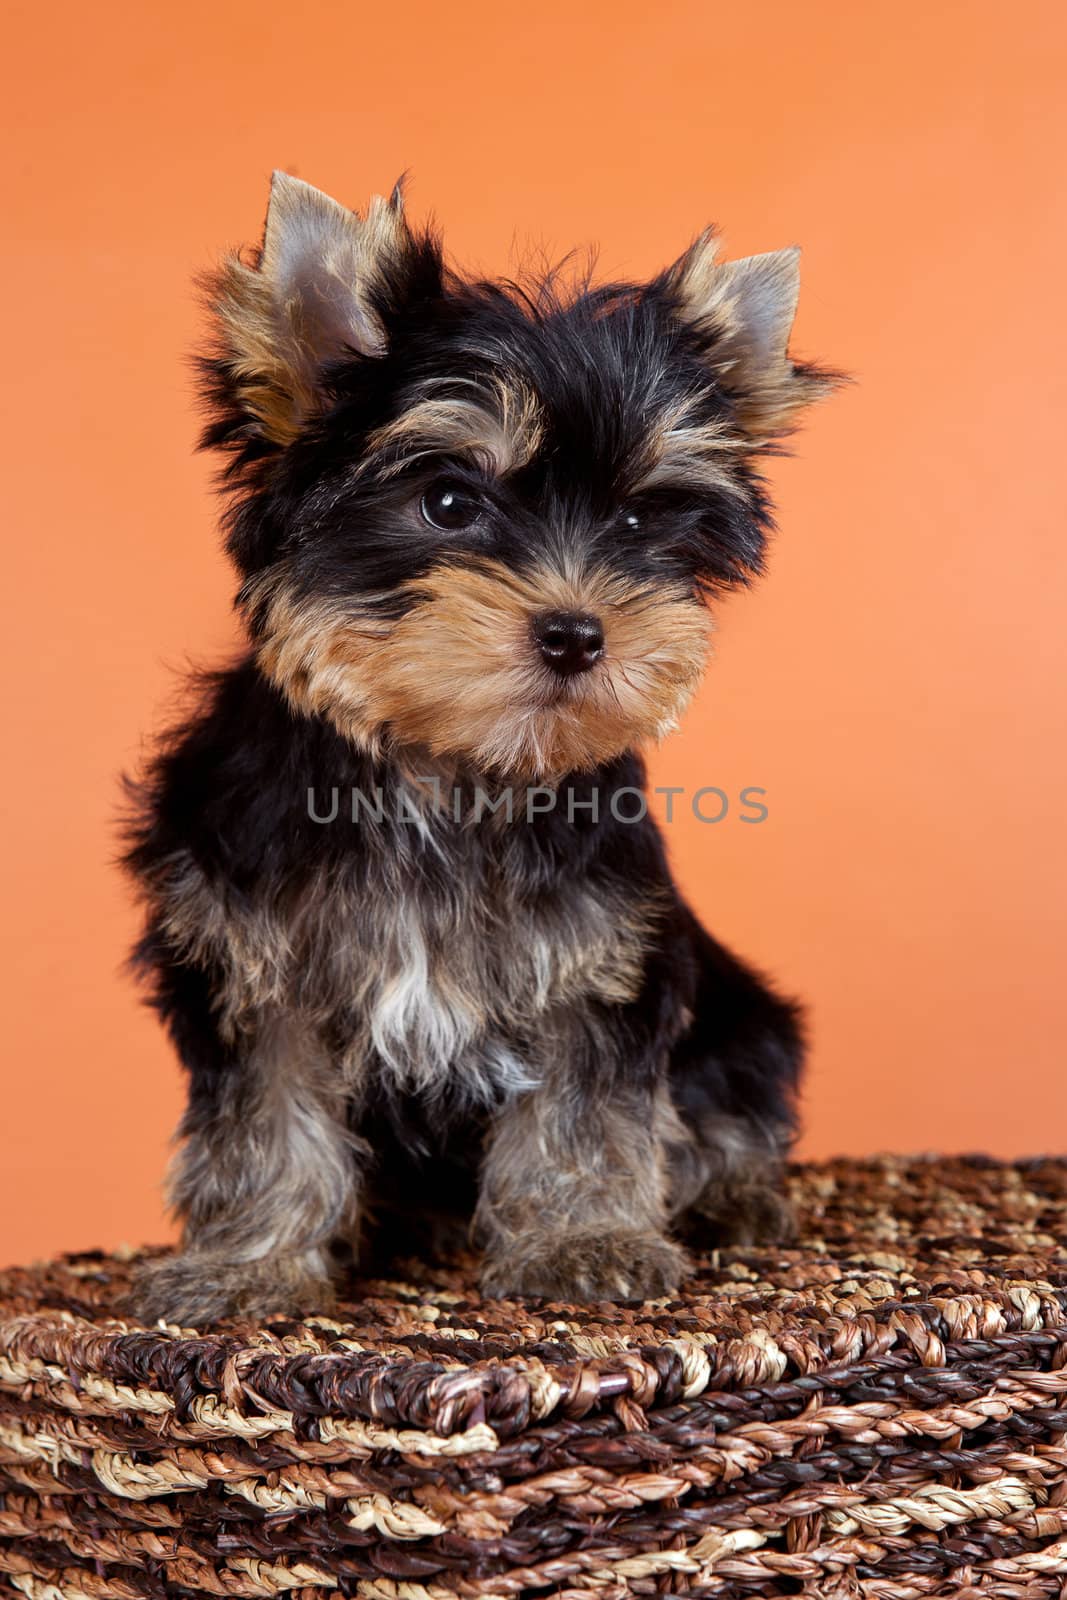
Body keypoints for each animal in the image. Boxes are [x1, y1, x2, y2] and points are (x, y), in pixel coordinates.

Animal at [120, 175, 831, 1324]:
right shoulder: (251, 955)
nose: (577, 632)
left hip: (742, 1016)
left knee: (727, 1104)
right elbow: (261, 1111)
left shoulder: (599, 954)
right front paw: (245, 1262)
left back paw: (731, 1195)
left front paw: (584, 1238)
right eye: (448, 501)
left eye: (637, 523)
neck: (443, 770)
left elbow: (588, 1105)